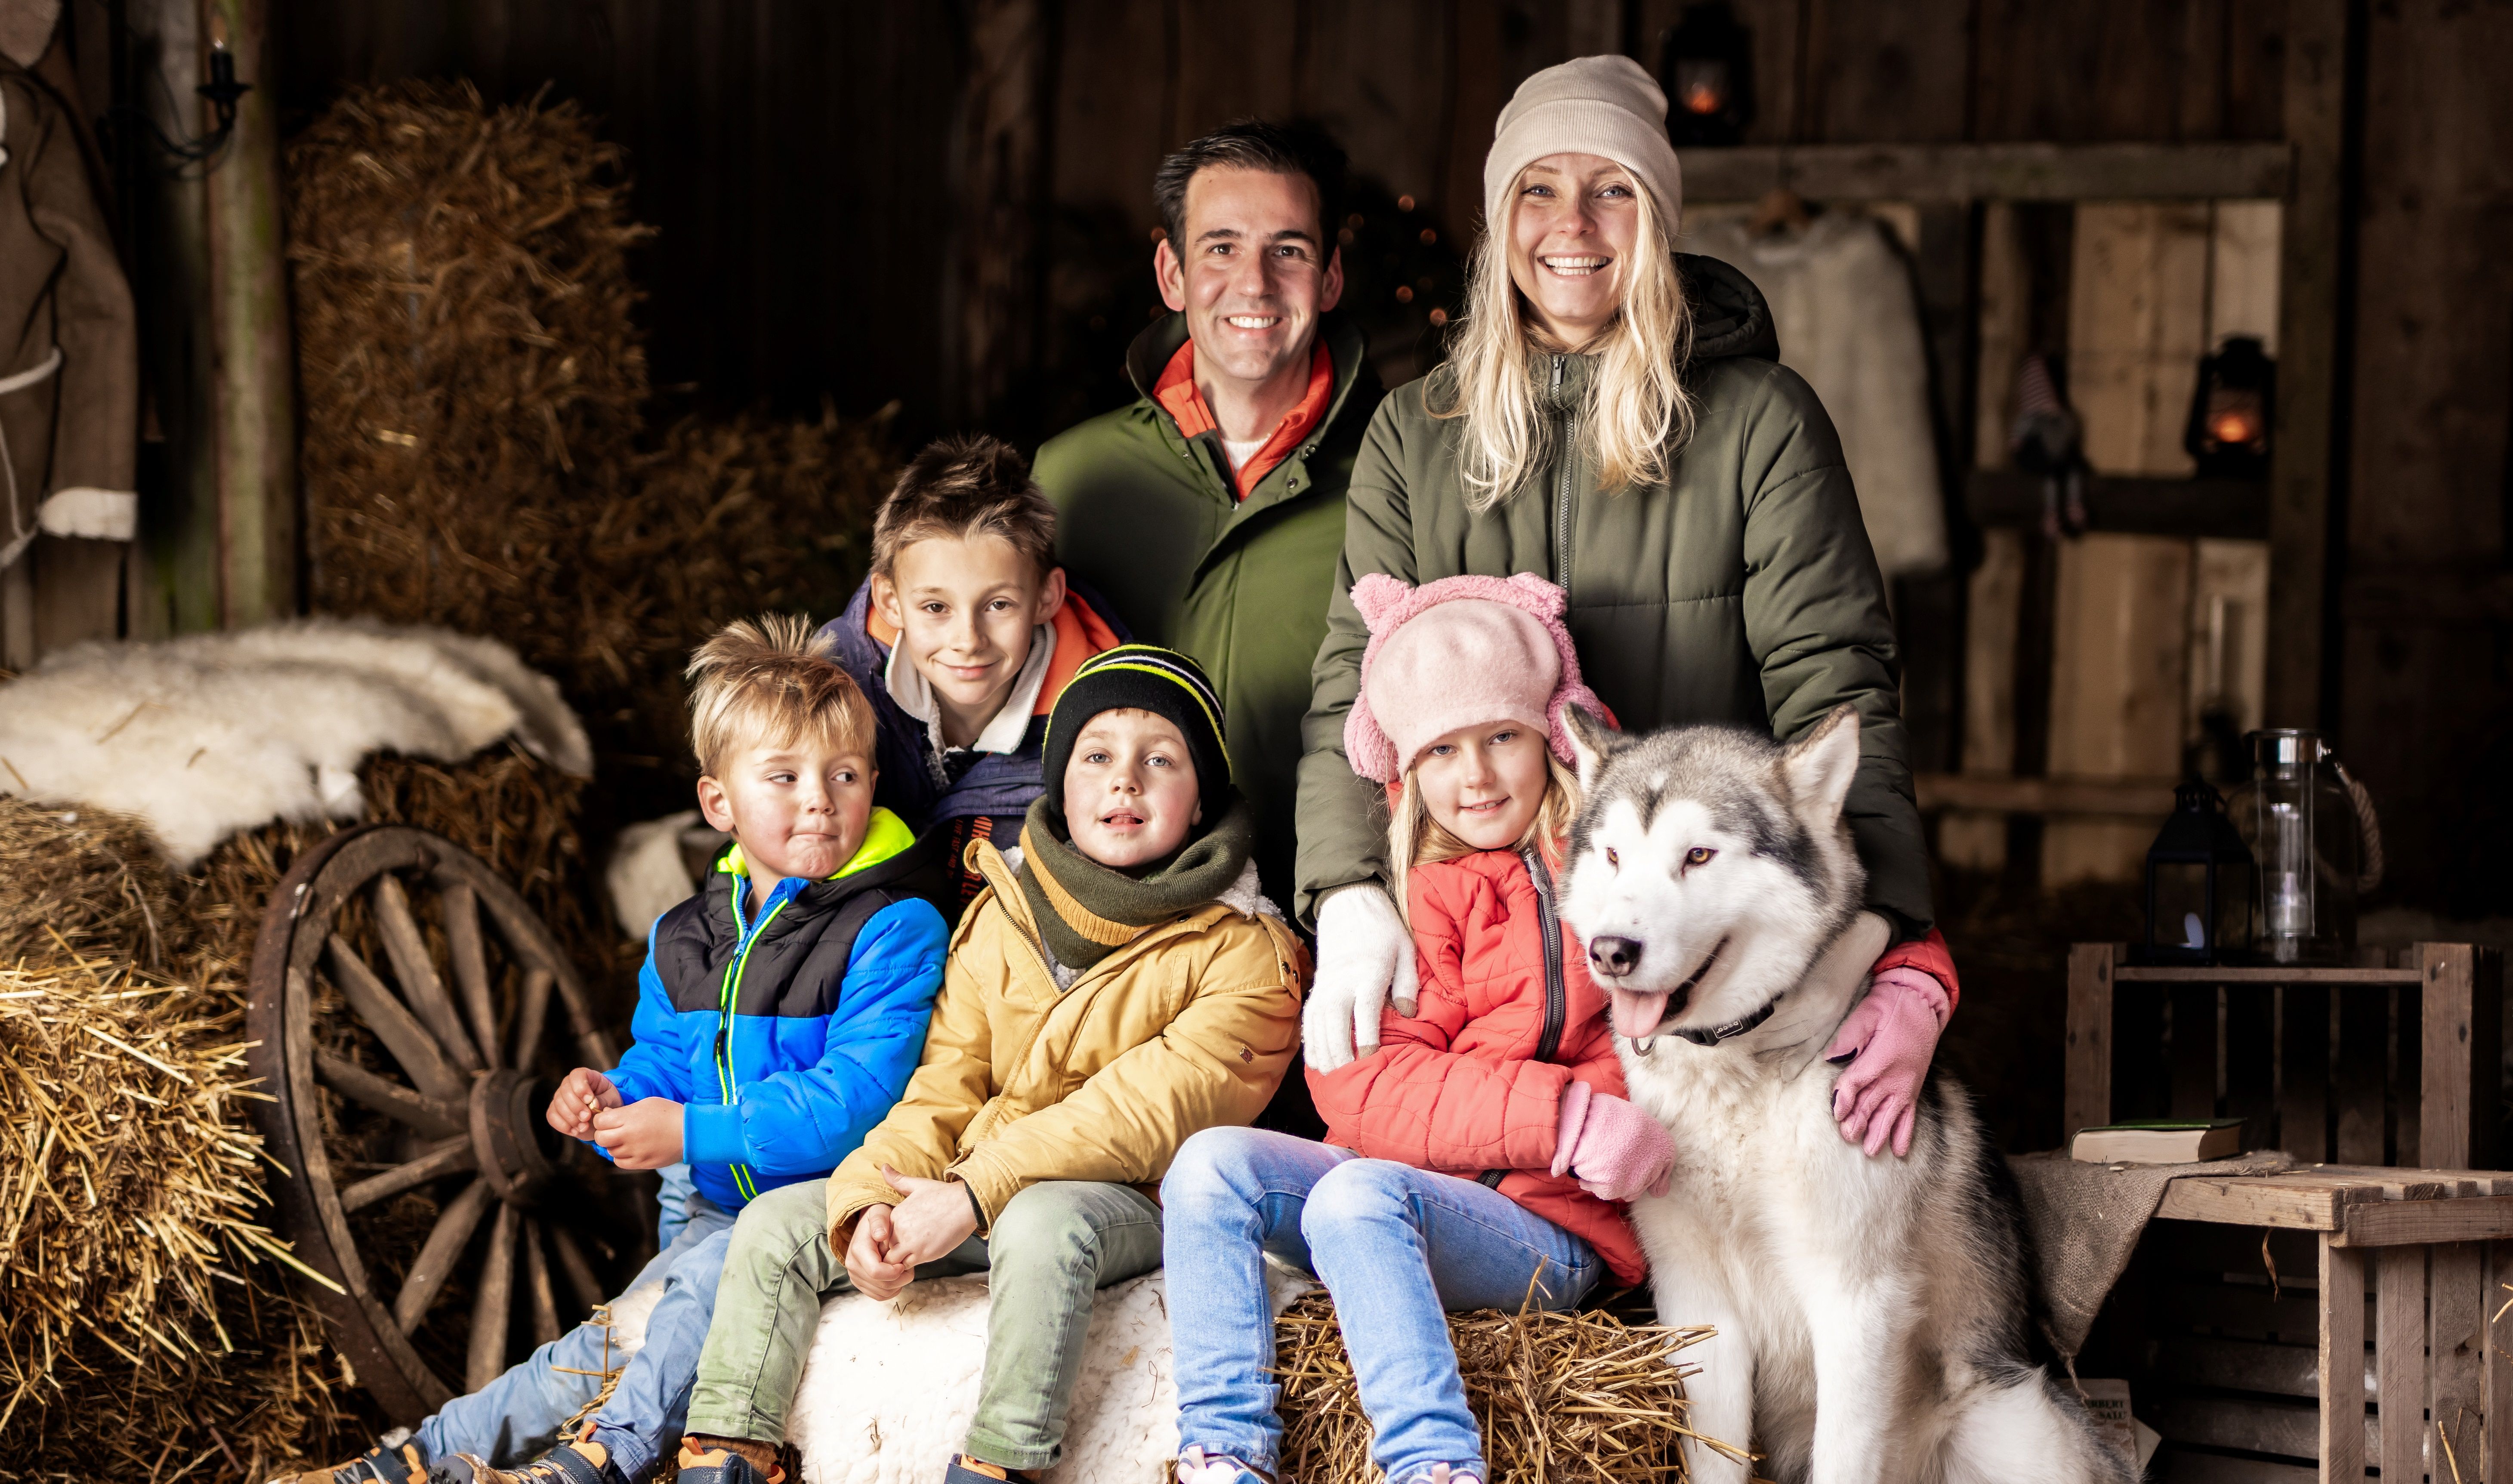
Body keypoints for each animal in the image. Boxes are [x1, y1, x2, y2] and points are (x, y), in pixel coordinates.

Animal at [1558, 708, 2131, 1484]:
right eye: (1615, 855)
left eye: (1699, 855)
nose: (1613, 950)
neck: (1736, 1075)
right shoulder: (1697, 1300)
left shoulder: (1856, 1301)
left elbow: (1845, 1454)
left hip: (2011, 1423)